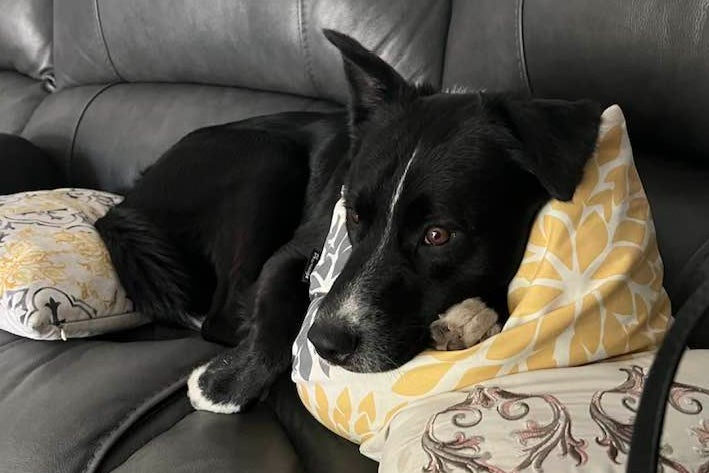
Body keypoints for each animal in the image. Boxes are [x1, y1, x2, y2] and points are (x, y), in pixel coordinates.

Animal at [92, 31, 596, 412]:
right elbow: (273, 324)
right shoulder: (290, 256)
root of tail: (126, 202)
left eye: (439, 235)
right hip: (266, 158)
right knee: (222, 314)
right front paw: (222, 387)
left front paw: (472, 315)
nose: (325, 343)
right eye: (354, 215)